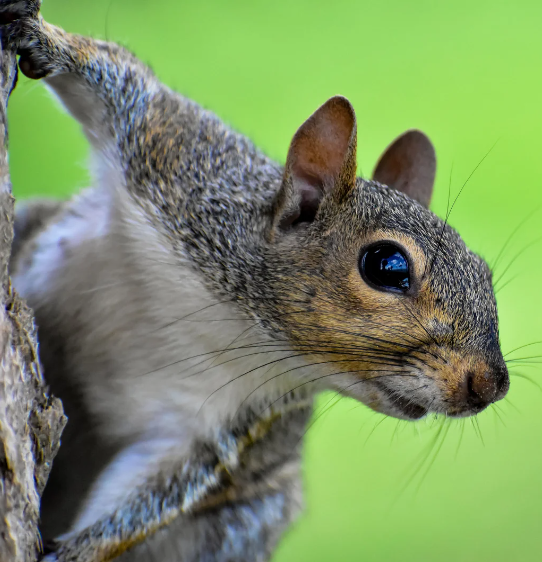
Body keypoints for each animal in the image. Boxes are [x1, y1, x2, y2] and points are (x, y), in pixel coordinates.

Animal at [1, 2, 510, 556]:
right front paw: (41, 37)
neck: (237, 320)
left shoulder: (215, 426)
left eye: (484, 273)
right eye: (387, 265)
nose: (491, 385)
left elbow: (155, 491)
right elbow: (120, 79)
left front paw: (74, 550)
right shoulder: (176, 156)